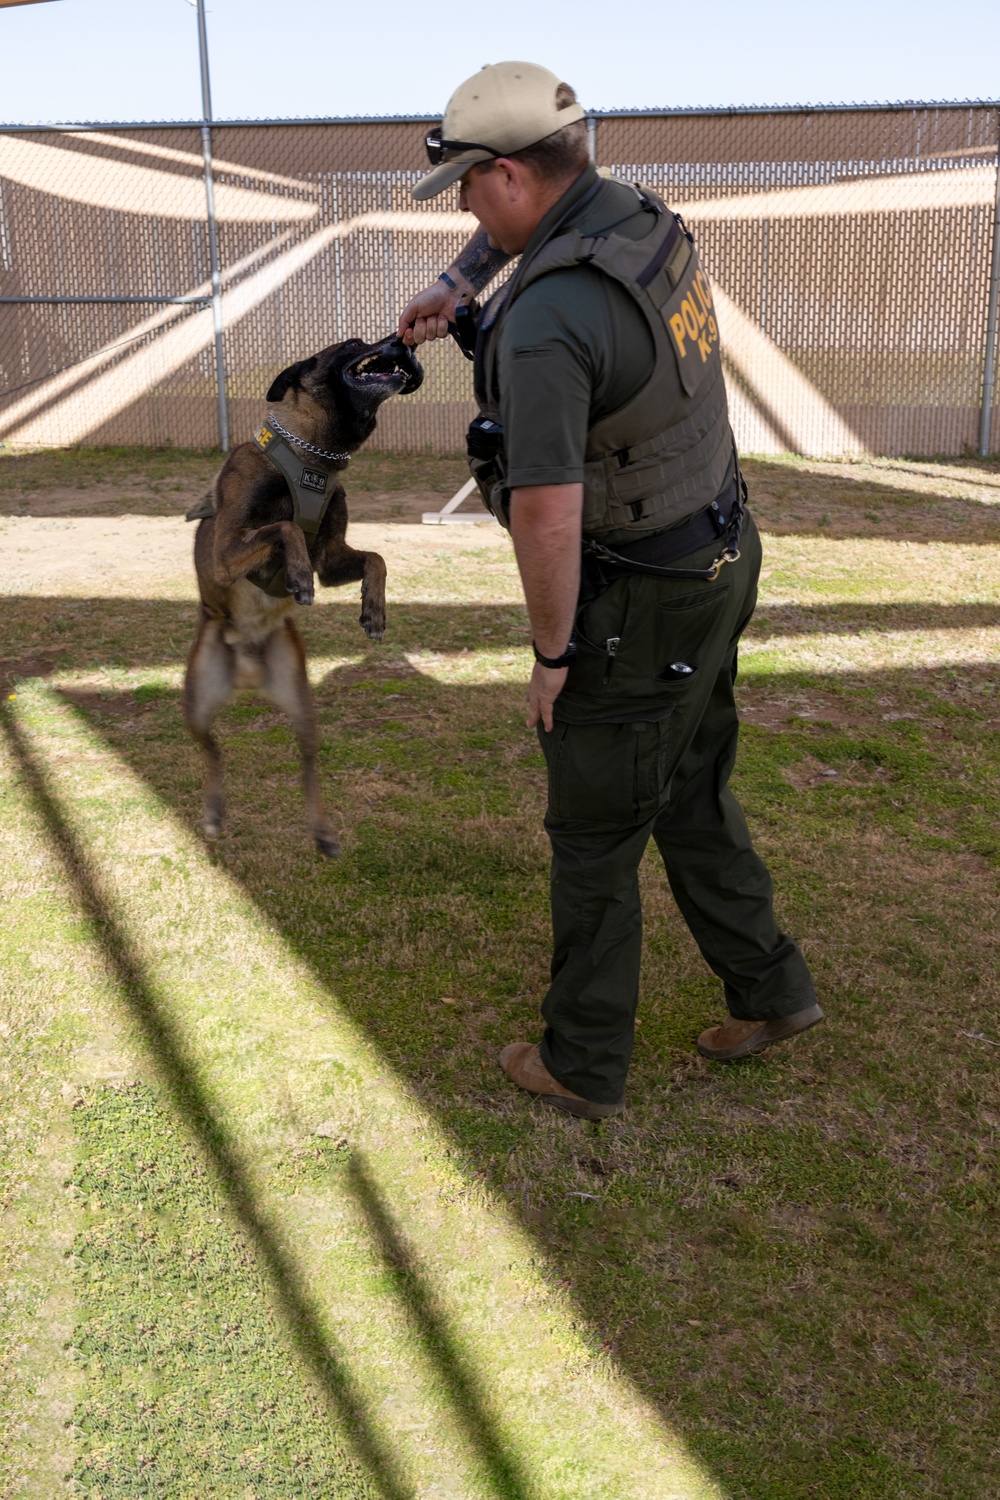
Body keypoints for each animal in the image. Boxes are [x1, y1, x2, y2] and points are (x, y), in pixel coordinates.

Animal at [183, 336, 422, 864]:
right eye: (353, 345)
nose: (399, 341)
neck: (312, 458)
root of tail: (247, 664)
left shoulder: (331, 562)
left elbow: (376, 559)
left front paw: (374, 612)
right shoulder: (226, 554)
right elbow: (285, 527)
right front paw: (294, 575)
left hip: (303, 708)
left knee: (308, 765)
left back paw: (323, 832)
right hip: (197, 705)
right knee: (212, 751)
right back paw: (213, 811)